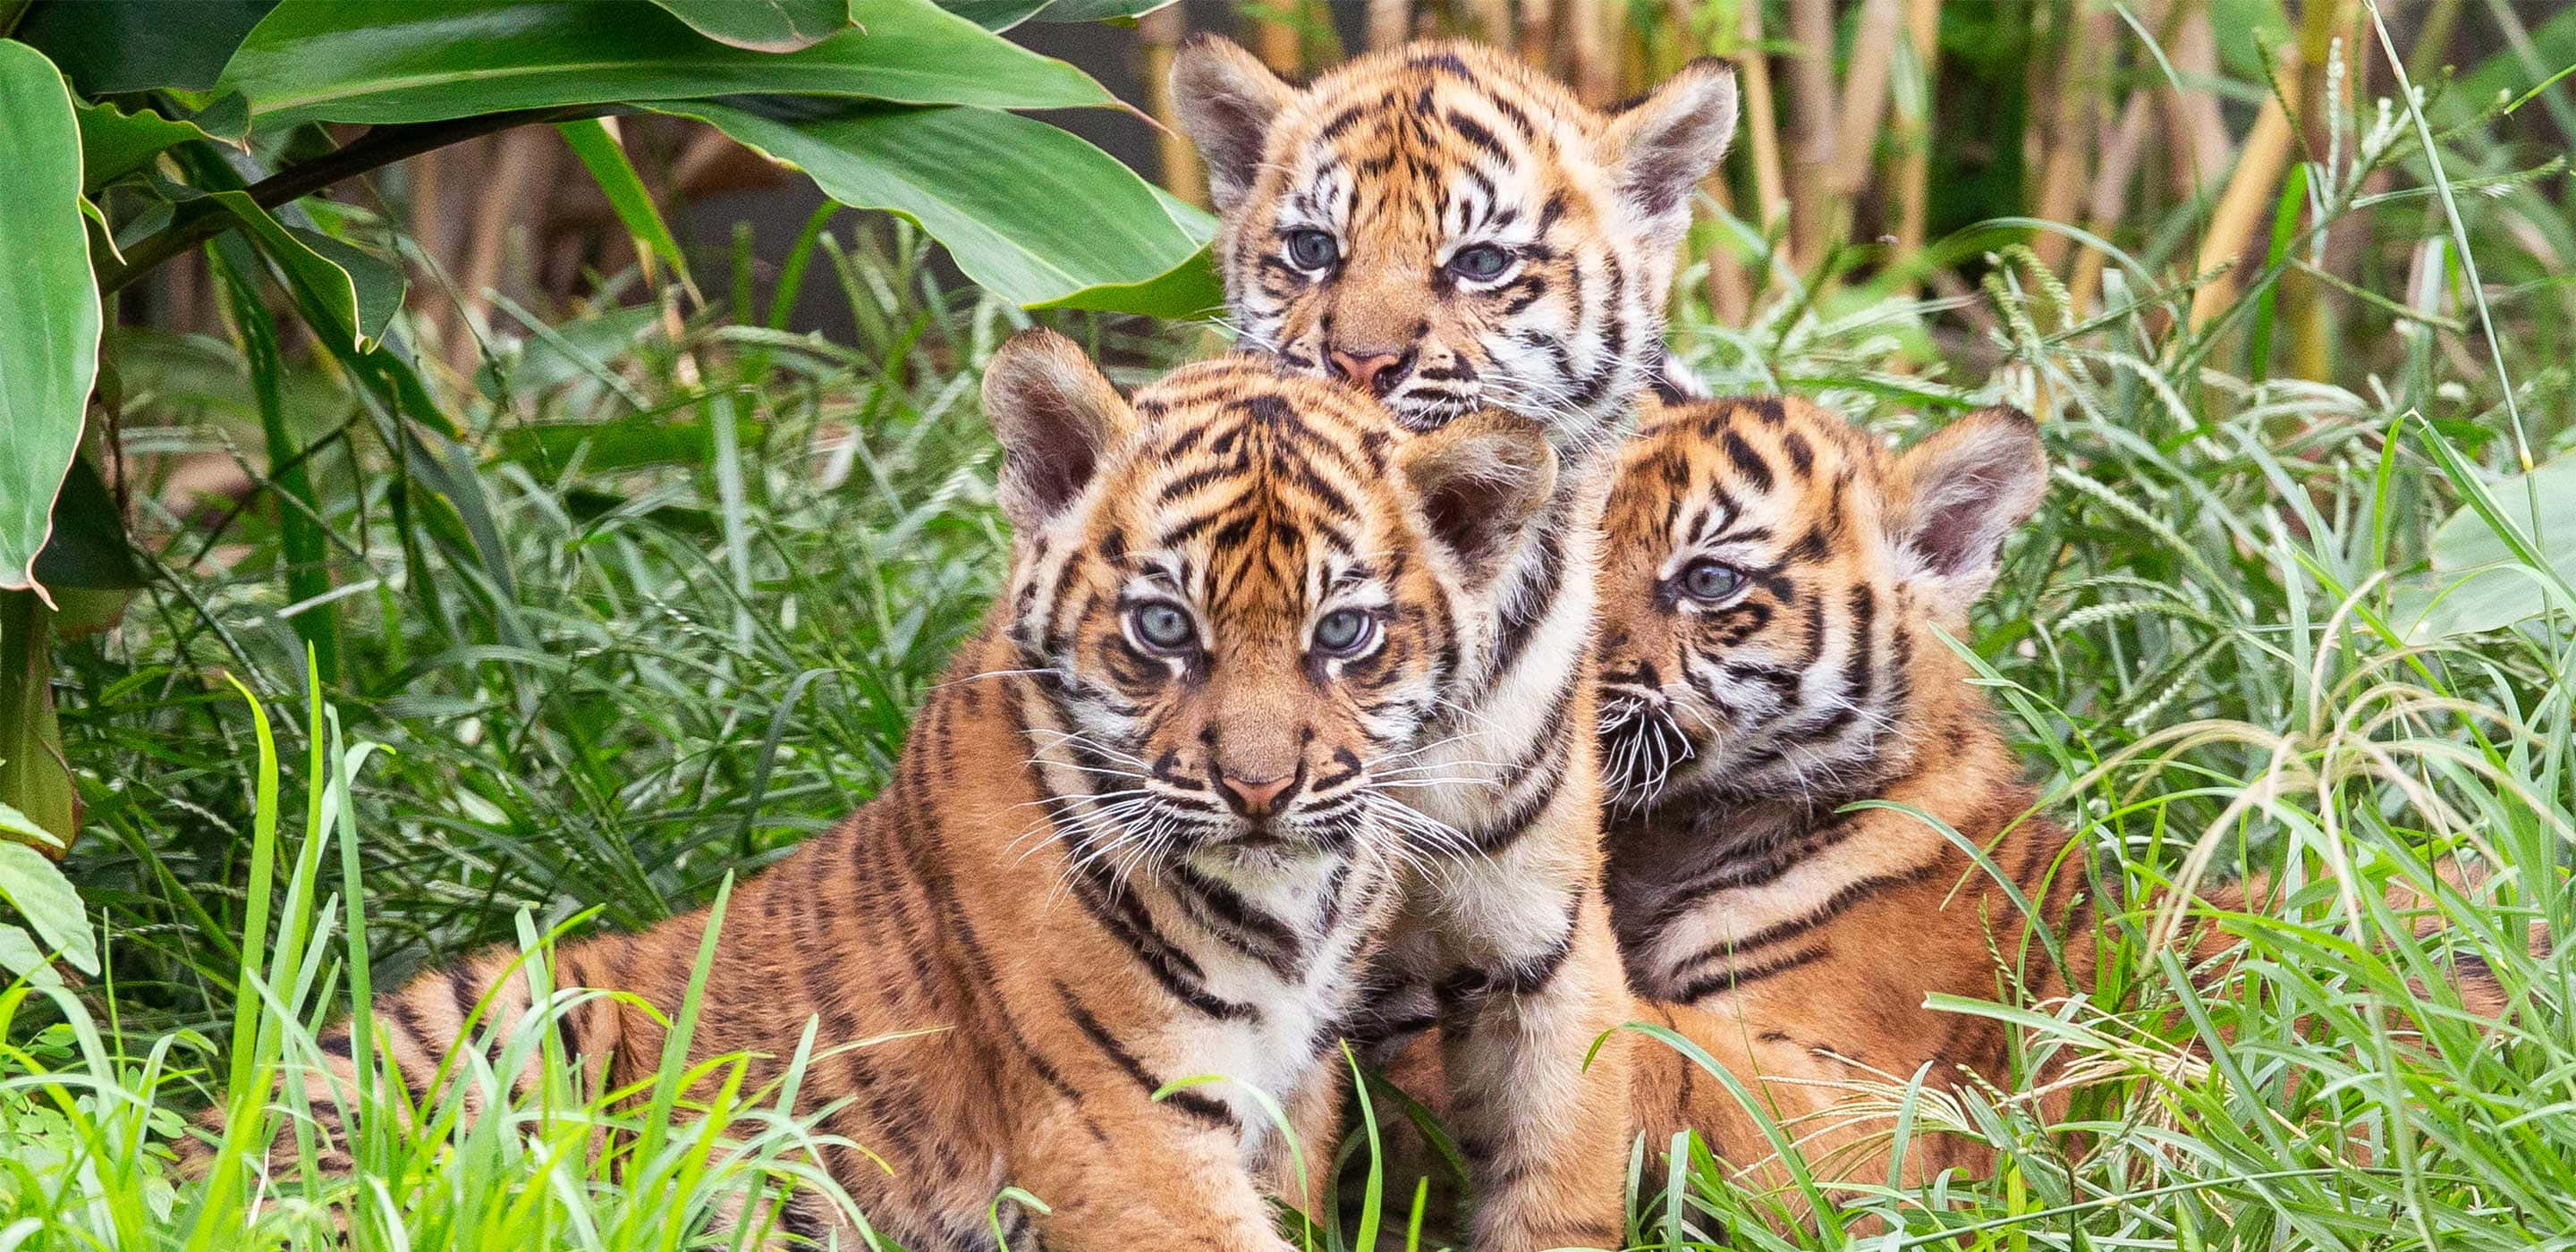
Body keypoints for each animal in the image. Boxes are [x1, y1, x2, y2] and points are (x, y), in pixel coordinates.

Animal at [189, 334, 1568, 1252]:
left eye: (1344, 635)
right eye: (1165, 627)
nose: (1260, 786)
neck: (1295, 900)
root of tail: (193, 1144)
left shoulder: (1288, 1098)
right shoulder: (1126, 1133)